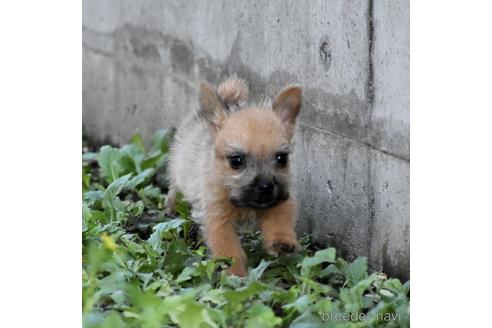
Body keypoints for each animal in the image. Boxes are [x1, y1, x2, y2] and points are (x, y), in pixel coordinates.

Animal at [167, 77, 302, 276]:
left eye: (281, 158)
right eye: (236, 161)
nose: (266, 187)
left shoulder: (281, 199)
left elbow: (280, 220)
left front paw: (281, 240)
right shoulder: (218, 218)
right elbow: (229, 249)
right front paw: (235, 273)